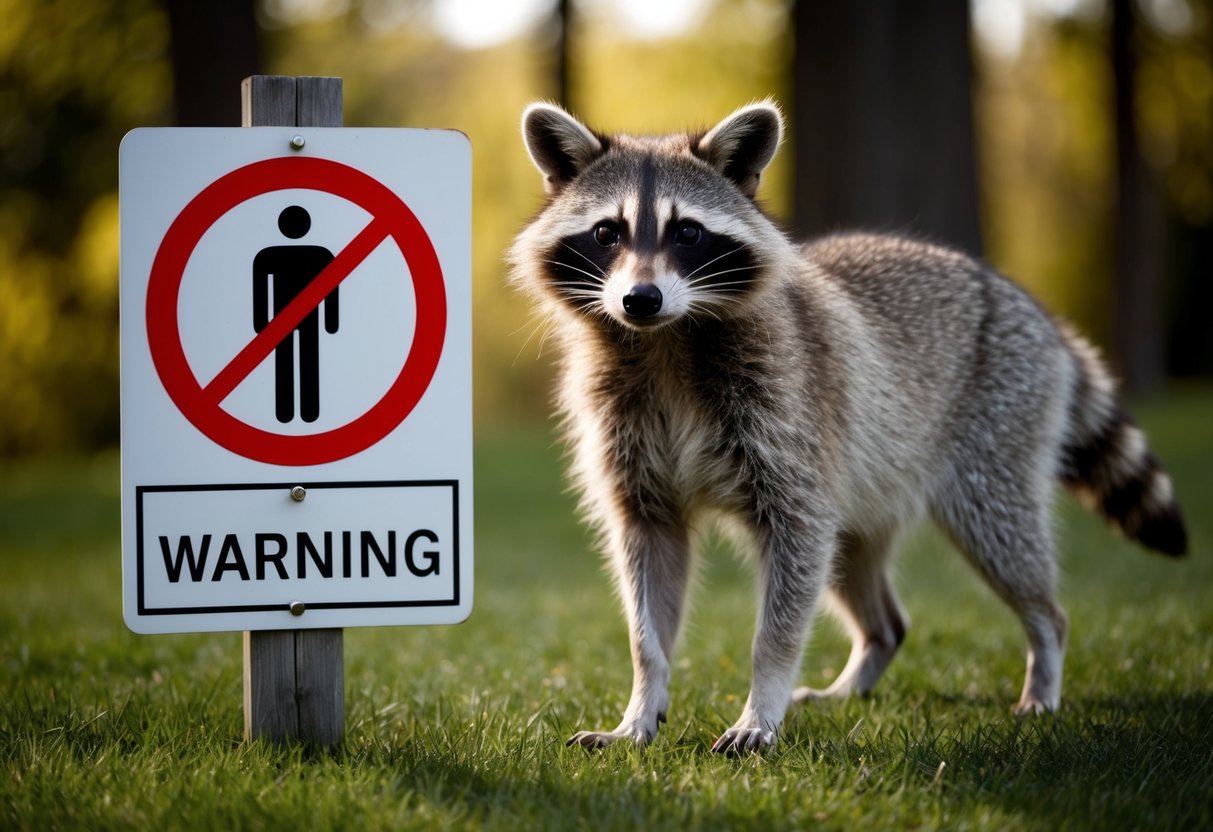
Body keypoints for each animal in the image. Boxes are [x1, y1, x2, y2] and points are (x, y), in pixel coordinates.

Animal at [508, 100, 1187, 754]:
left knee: (1005, 540)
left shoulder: (790, 418)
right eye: (606, 232)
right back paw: (866, 661)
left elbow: (788, 585)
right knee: (859, 573)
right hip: (866, 481)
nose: (639, 299)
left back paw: (1044, 652)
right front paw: (641, 705)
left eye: (689, 232)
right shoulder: (632, 449)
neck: (666, 340)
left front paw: (762, 702)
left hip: (997, 427)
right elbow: (647, 583)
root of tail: (1033, 308)